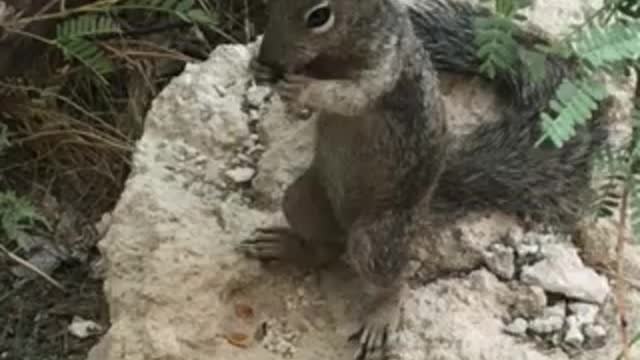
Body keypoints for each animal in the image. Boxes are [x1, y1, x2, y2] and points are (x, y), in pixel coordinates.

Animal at [236, 0, 608, 360]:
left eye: (319, 16)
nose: (267, 57)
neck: (334, 57)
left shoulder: (385, 69)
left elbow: (349, 97)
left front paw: (305, 88)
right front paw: (262, 72)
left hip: (377, 237)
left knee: (389, 277)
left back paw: (382, 315)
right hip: (302, 198)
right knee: (327, 248)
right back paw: (284, 246)